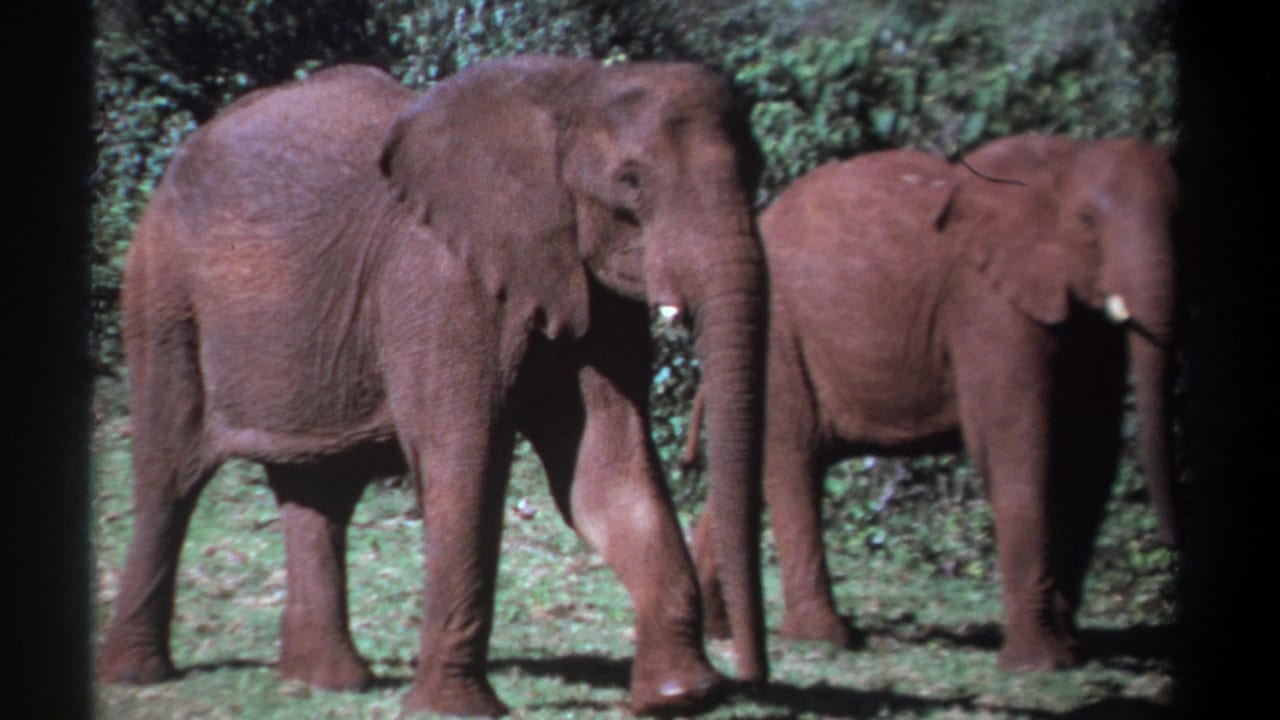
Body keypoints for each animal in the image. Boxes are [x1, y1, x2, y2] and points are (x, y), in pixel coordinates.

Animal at [96, 56, 771, 717]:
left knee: (318, 489)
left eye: (757, 171)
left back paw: (331, 684)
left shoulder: (592, 290)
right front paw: (455, 711)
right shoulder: (440, 278)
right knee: (171, 472)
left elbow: (607, 470)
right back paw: (137, 675)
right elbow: (464, 458)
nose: (750, 679)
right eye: (631, 182)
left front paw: (679, 696)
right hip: (163, 295)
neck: (572, 88)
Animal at [689, 134, 1179, 672]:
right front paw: (1039, 664)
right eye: (1088, 223)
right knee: (792, 464)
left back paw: (722, 630)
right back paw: (825, 639)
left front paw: (1070, 651)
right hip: (779, 341)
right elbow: (1017, 445)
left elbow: (1092, 453)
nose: (1172, 542)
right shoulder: (986, 304)